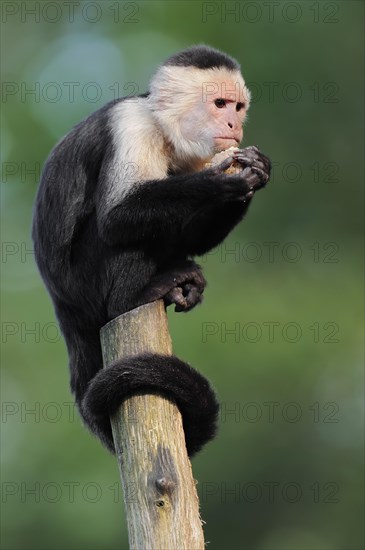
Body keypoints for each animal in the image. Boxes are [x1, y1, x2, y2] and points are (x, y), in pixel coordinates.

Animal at [32, 44, 270, 458]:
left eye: (238, 107)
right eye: (219, 104)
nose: (233, 124)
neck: (162, 128)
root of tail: (63, 307)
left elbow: (193, 236)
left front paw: (256, 171)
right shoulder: (132, 125)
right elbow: (117, 217)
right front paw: (222, 181)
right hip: (84, 286)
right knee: (122, 236)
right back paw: (135, 296)